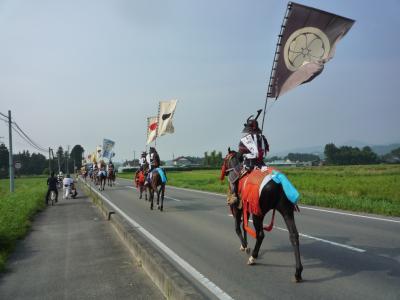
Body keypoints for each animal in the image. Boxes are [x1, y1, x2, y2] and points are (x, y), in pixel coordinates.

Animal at [222, 151, 304, 282]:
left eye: (225, 159)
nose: (224, 171)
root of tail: (278, 181)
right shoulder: (246, 208)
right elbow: (244, 227)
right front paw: (244, 245)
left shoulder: (237, 208)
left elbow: (238, 228)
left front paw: (245, 246)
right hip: (286, 211)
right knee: (294, 236)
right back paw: (298, 272)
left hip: (258, 214)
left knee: (260, 235)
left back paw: (253, 258)